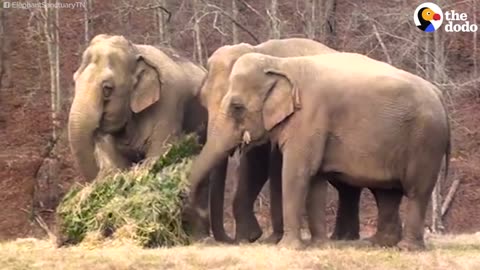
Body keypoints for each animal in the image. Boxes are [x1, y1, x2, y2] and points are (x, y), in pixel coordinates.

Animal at [187, 52, 450, 251]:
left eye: (237, 107)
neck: (281, 63)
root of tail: (438, 94)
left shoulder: (309, 118)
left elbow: (297, 173)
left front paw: (288, 248)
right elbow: (315, 180)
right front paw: (319, 245)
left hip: (425, 143)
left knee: (416, 192)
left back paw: (406, 248)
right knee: (387, 193)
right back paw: (376, 244)